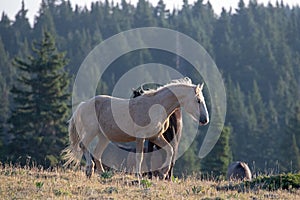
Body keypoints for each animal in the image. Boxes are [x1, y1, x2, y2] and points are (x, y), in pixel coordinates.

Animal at [63, 77, 209, 179]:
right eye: (198, 100)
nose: (205, 120)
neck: (156, 107)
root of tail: (82, 105)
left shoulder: (155, 137)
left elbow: (170, 150)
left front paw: (163, 173)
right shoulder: (141, 137)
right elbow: (140, 157)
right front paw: (139, 175)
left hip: (103, 136)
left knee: (97, 153)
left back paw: (102, 174)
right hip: (91, 132)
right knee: (83, 146)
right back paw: (89, 169)